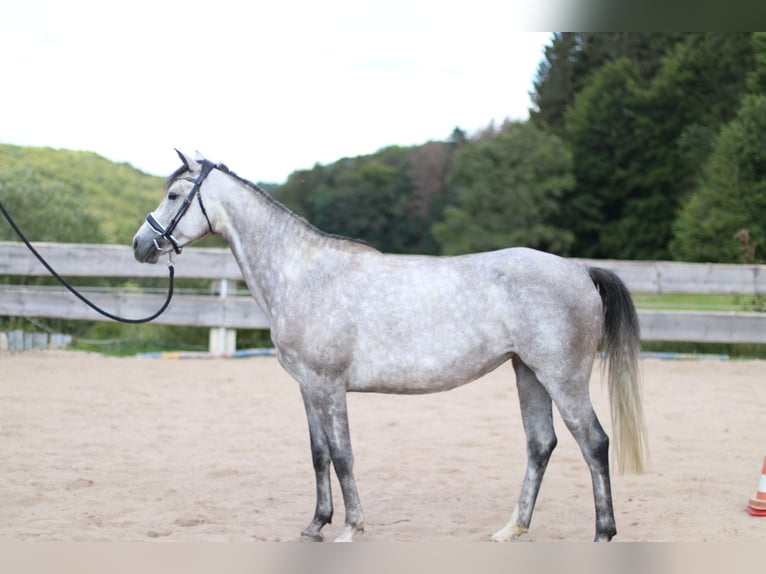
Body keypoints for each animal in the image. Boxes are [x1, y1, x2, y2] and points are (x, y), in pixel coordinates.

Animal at [132, 150, 648, 544]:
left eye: (174, 195)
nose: (141, 245)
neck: (303, 273)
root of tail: (579, 270)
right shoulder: (308, 387)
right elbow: (318, 454)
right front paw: (316, 525)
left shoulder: (328, 386)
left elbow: (342, 455)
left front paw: (350, 528)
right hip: (528, 373)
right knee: (541, 445)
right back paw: (511, 530)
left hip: (562, 377)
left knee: (594, 442)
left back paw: (603, 533)